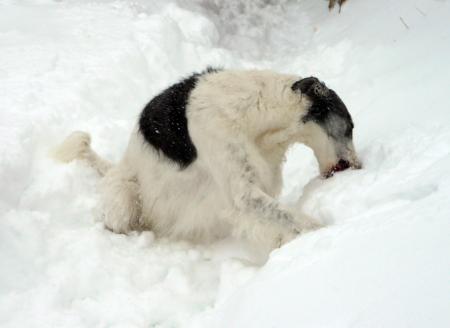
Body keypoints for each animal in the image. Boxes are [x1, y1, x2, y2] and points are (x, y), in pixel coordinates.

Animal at [53, 68, 362, 249]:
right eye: (350, 125)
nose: (360, 167)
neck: (255, 111)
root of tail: (116, 166)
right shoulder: (243, 193)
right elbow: (299, 219)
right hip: (123, 195)